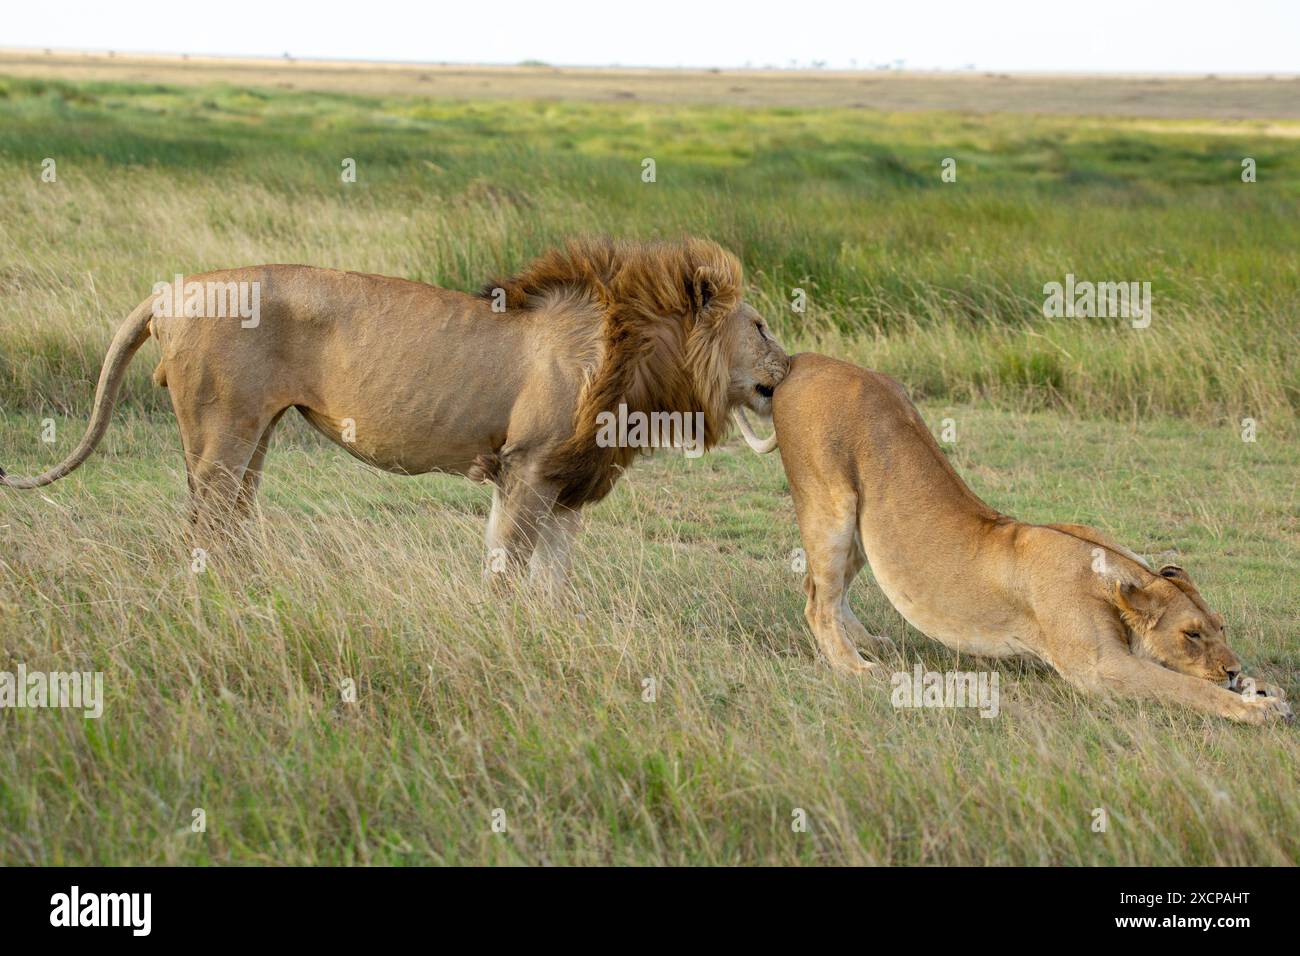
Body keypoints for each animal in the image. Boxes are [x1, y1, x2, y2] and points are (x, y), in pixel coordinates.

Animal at [1, 237, 789, 592]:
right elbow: (507, 570)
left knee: (229, 518)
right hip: (221, 430)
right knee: (204, 523)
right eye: (760, 327)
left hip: (254, 432)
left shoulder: (570, 482)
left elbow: (552, 579)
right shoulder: (528, 468)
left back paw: (252, 588)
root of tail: (172, 291)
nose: (790, 370)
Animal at [734, 352, 1291, 724]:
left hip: (861, 531)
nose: (1232, 669)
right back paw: (854, 667)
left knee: (829, 590)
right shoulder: (1100, 669)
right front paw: (1254, 709)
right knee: (817, 600)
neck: (1114, 573)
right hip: (831, 505)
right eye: (1191, 635)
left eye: (1220, 626)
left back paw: (871, 642)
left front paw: (1265, 690)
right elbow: (1183, 689)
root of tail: (802, 358)